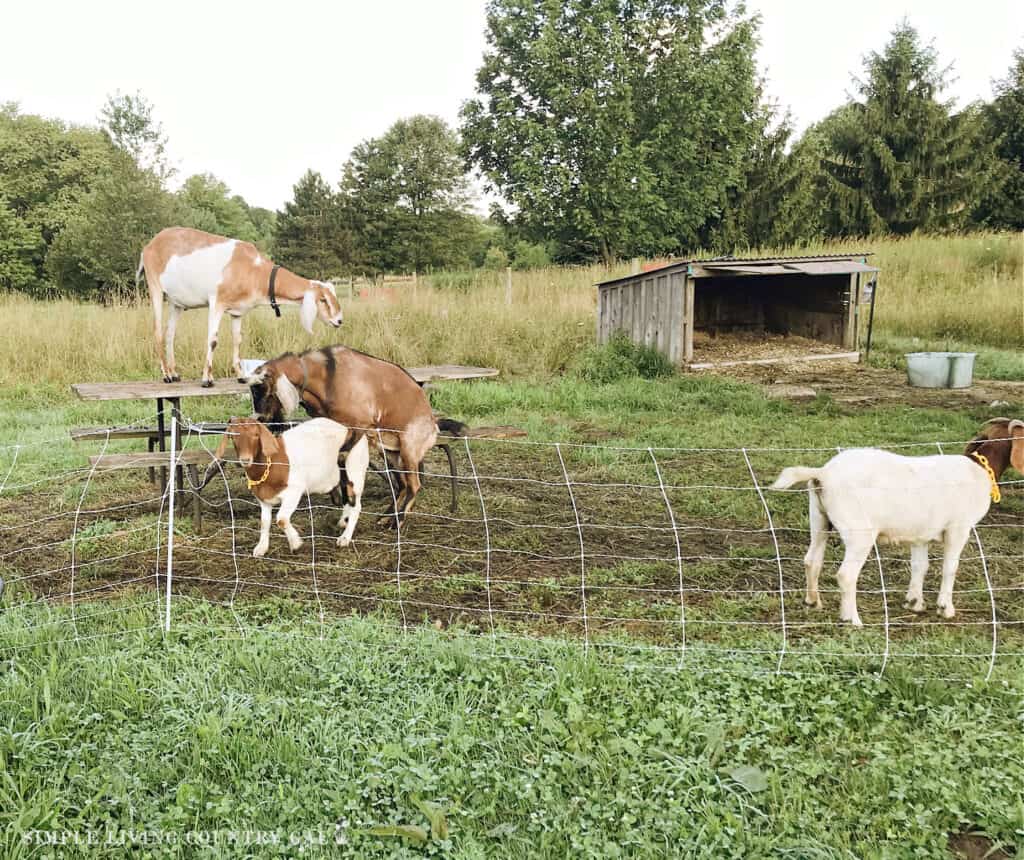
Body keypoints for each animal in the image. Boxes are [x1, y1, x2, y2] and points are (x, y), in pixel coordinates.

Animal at [139, 228, 344, 389]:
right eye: (323, 299)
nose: (339, 320)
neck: (252, 268)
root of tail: (150, 244)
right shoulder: (217, 303)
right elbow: (213, 340)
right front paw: (207, 379)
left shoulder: (237, 312)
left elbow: (237, 340)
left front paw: (241, 376)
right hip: (155, 287)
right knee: (158, 331)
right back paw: (166, 375)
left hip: (176, 303)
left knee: (170, 334)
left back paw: (174, 373)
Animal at [214, 415, 370, 556]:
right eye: (233, 437)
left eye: (256, 435)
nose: (245, 460)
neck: (271, 463)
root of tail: (350, 428)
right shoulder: (264, 499)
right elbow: (264, 522)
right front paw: (261, 548)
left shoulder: (294, 492)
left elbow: (281, 519)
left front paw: (295, 543)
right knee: (346, 499)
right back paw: (343, 522)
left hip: (356, 471)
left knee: (356, 505)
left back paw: (345, 538)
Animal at [770, 415, 1019, 626]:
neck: (981, 469)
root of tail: (823, 474)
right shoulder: (958, 528)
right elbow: (950, 567)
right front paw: (945, 608)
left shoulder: (921, 534)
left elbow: (920, 566)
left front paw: (914, 603)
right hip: (859, 532)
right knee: (846, 575)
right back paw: (853, 620)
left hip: (819, 519)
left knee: (812, 560)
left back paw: (813, 602)